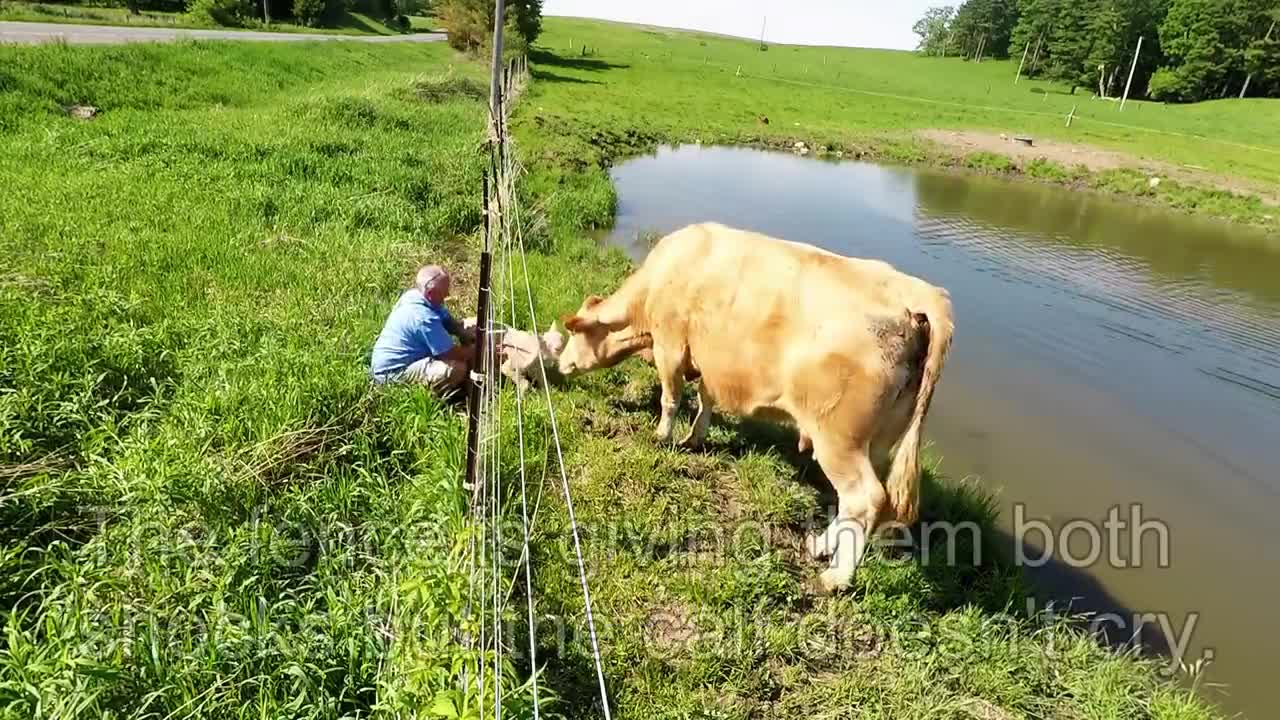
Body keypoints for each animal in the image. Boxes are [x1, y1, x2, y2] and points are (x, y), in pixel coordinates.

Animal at [558, 221, 952, 591]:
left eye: (575, 333)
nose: (560, 364)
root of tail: (918, 294)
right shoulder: (710, 360)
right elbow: (705, 399)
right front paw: (694, 438)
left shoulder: (669, 346)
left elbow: (671, 397)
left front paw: (662, 436)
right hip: (879, 438)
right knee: (855, 500)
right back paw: (821, 546)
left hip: (840, 438)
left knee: (864, 497)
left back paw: (837, 577)